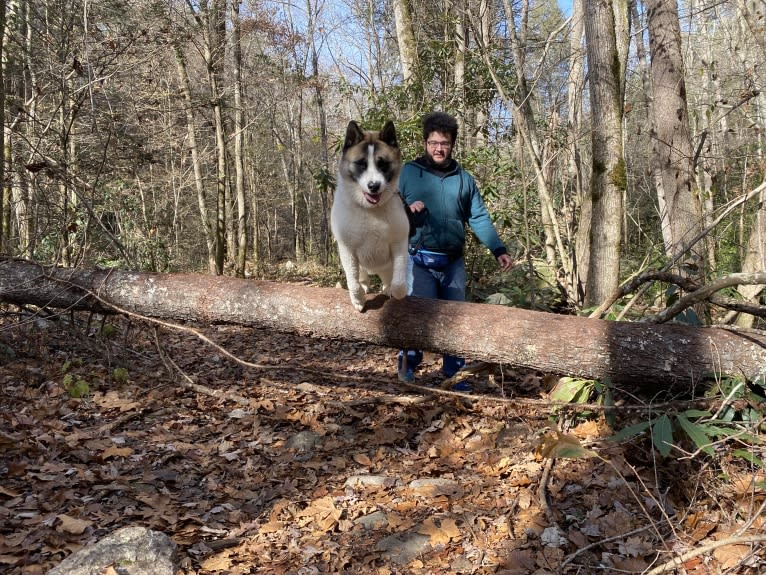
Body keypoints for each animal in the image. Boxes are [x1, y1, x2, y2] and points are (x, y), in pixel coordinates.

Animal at [332, 119, 414, 312]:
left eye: (382, 163)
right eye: (361, 164)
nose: (374, 186)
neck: (369, 209)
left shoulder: (399, 244)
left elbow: (399, 282)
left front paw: (397, 292)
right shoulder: (347, 250)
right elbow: (353, 281)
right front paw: (358, 299)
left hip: (386, 266)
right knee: (361, 277)